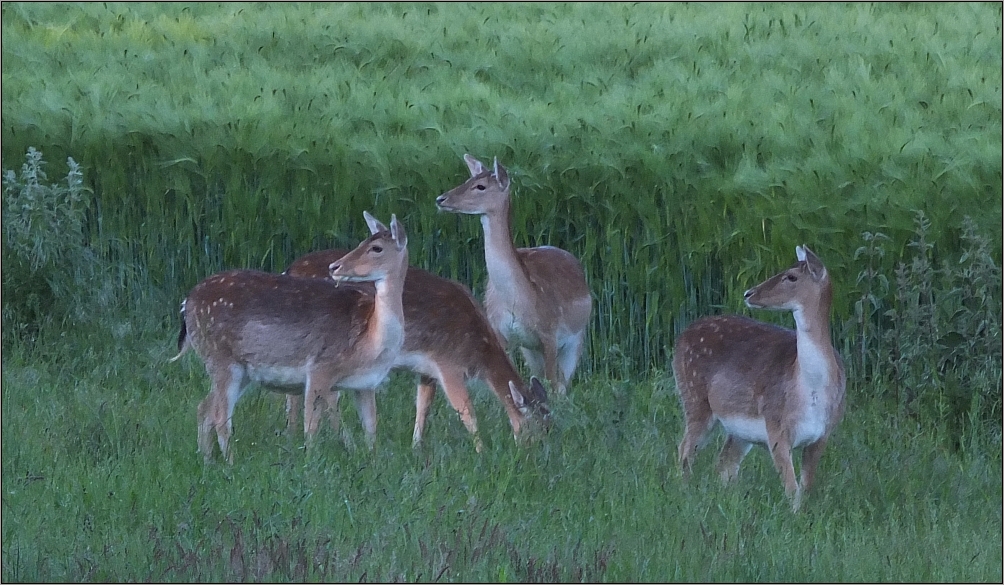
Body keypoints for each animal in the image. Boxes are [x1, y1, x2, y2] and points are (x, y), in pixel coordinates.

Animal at [169, 212, 407, 465]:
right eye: (362, 242)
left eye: (376, 247)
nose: (335, 266)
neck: (371, 341)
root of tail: (186, 303)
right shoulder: (320, 367)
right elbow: (311, 426)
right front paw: (310, 462)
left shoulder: (366, 384)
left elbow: (371, 428)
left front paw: (373, 462)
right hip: (220, 357)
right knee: (220, 415)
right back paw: (231, 463)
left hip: (241, 370)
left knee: (204, 407)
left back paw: (207, 461)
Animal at [281, 249, 550, 451]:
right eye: (535, 426)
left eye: (552, 423)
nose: (540, 455)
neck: (477, 351)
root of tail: (291, 268)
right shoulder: (448, 363)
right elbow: (466, 411)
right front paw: (481, 451)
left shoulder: (427, 369)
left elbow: (423, 406)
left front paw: (416, 448)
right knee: (327, 395)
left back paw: (292, 435)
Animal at [435, 154, 590, 397]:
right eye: (469, 179)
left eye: (480, 186)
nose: (441, 199)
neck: (519, 300)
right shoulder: (500, 332)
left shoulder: (550, 334)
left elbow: (553, 385)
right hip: (531, 350)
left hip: (576, 339)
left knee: (562, 386)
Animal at [670, 245, 843, 513]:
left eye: (791, 276)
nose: (748, 293)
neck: (809, 389)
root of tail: (682, 335)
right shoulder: (776, 425)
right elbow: (792, 490)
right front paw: (794, 518)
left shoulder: (823, 433)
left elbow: (805, 488)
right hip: (694, 396)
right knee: (686, 450)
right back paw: (685, 496)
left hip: (739, 428)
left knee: (724, 464)